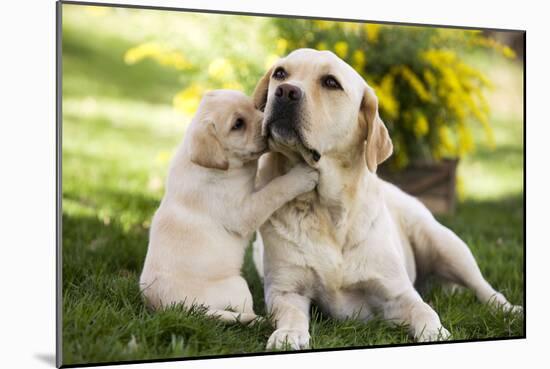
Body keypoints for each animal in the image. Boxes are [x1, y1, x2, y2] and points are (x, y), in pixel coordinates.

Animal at [139, 89, 320, 322]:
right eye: (238, 124)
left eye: (254, 106)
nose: (267, 123)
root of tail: (168, 308)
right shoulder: (244, 212)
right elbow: (274, 190)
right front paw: (301, 175)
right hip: (238, 285)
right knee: (245, 311)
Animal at [252, 49, 524, 348]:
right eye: (280, 74)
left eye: (330, 82)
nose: (285, 91)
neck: (326, 209)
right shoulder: (286, 290)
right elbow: (290, 313)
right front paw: (288, 334)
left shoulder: (397, 295)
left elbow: (425, 310)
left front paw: (435, 332)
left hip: (445, 244)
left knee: (483, 287)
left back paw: (508, 309)